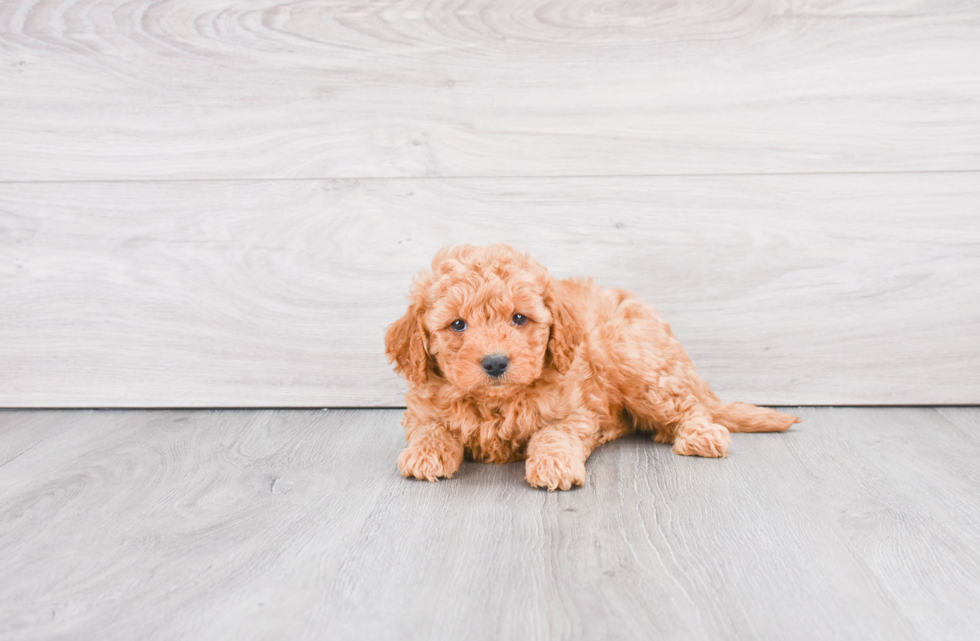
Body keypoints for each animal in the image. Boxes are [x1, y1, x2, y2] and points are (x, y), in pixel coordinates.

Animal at [382, 244, 796, 490]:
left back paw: (700, 434)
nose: (496, 362)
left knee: (688, 407)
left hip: (637, 366)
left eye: (519, 318)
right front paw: (426, 453)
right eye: (457, 325)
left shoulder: (574, 412)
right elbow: (431, 429)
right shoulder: (422, 409)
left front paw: (553, 464)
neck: (497, 402)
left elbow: (554, 433)